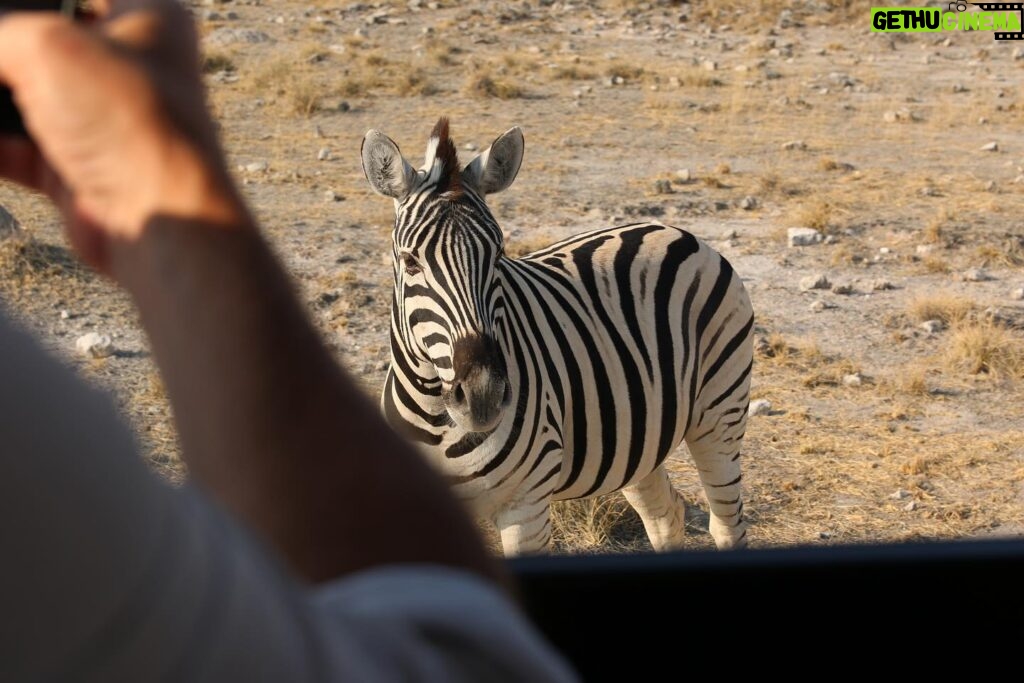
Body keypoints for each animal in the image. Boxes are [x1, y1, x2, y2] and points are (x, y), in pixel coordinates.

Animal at [360, 117, 753, 557]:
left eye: (498, 256)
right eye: (410, 261)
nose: (483, 395)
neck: (435, 415)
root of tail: (677, 232)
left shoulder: (527, 508)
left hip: (720, 412)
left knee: (727, 523)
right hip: (639, 440)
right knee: (665, 515)